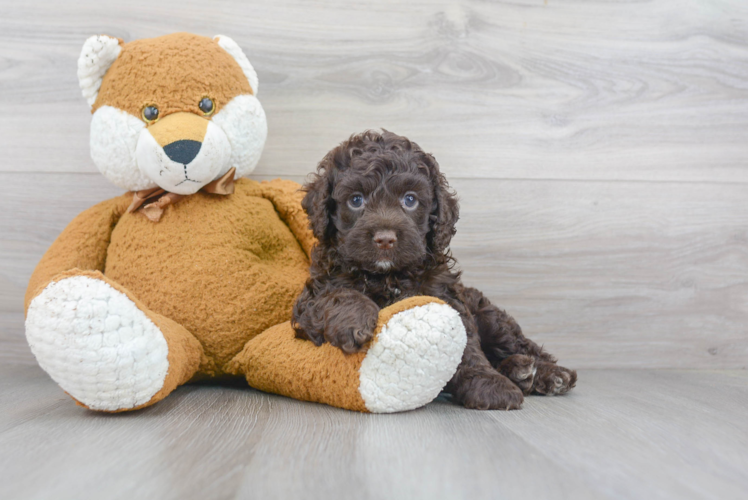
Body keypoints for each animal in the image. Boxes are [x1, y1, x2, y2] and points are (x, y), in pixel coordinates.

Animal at [294, 130, 580, 410]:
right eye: (356, 200)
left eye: (410, 199)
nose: (385, 239)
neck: (389, 276)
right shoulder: (309, 303)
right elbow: (336, 296)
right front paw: (354, 321)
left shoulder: (446, 297)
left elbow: (467, 346)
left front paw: (488, 385)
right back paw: (522, 372)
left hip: (491, 317)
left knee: (521, 345)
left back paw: (548, 374)